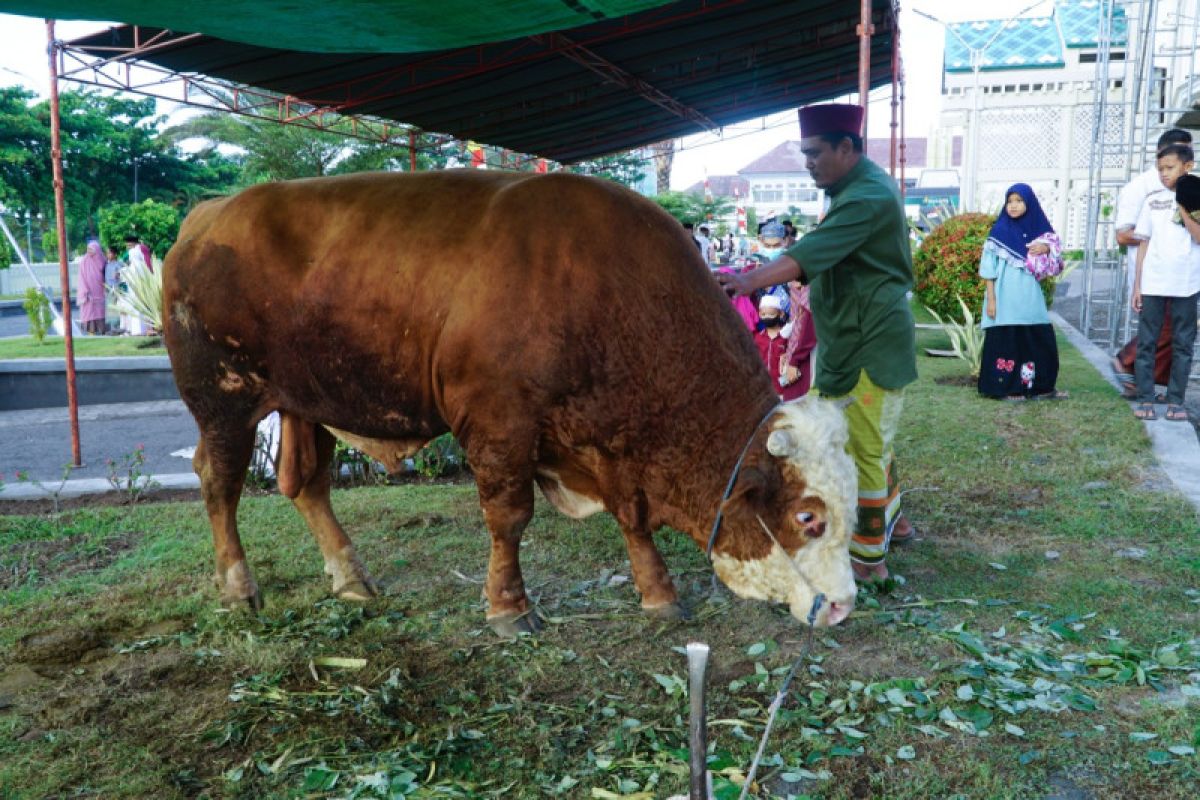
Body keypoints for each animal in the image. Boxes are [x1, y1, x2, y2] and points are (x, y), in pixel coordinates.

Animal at [164, 172, 859, 633]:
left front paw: (658, 592)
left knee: (307, 483)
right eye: (808, 517)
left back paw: (353, 578)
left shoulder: (613, 444)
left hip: (307, 402)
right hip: (222, 398)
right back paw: (239, 587)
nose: (845, 604)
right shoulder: (500, 425)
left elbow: (631, 521)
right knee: (219, 481)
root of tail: (209, 215)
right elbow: (509, 518)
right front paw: (508, 607)